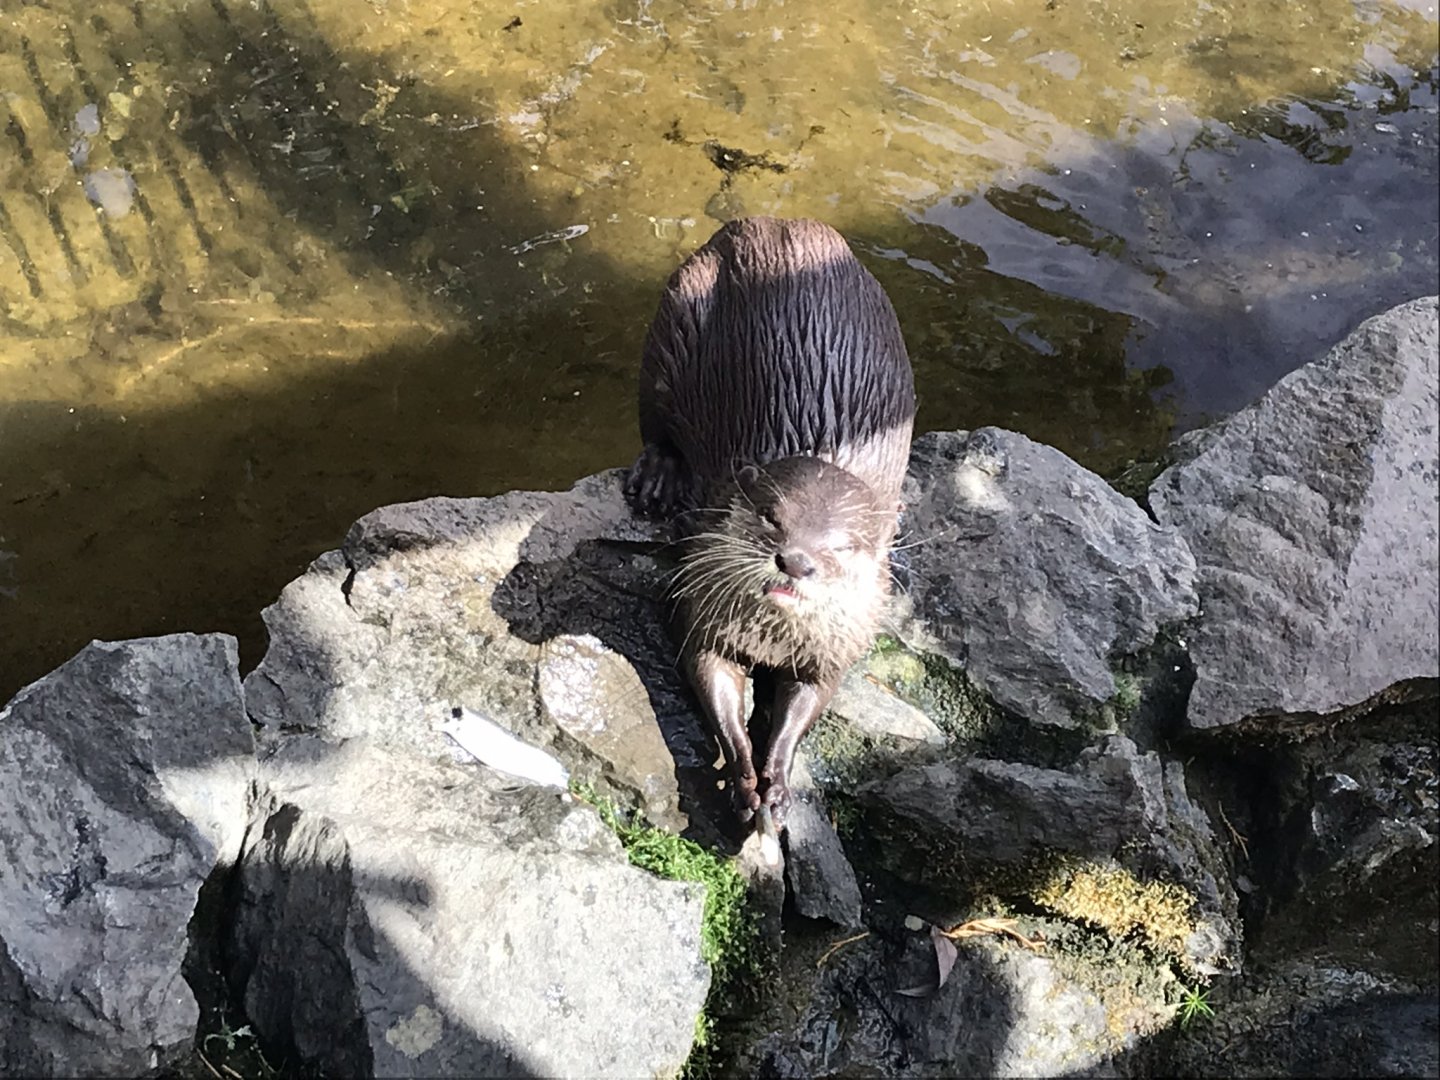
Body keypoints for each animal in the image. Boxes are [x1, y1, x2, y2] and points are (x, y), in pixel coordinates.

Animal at [625, 216, 916, 838]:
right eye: (770, 516)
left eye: (840, 546)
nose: (795, 561)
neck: (771, 639)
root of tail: (774, 222)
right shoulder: (702, 606)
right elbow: (711, 677)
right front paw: (742, 778)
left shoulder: (838, 645)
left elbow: (806, 704)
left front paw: (777, 784)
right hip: (673, 322)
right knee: (653, 417)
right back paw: (658, 476)